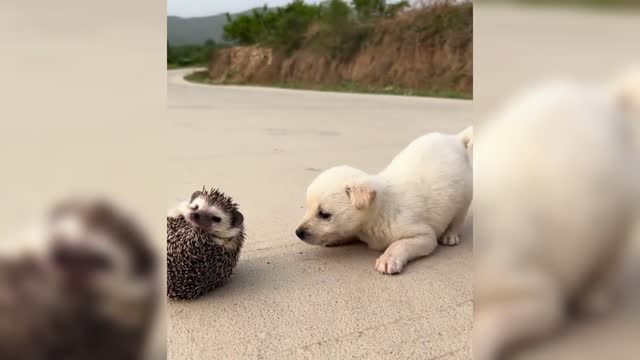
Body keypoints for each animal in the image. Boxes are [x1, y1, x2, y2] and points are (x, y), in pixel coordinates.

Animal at [294, 126, 470, 272]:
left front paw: (388, 259)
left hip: (465, 198)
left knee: (459, 219)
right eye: (308, 208)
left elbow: (399, 244)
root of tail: (455, 138)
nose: (298, 232)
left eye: (324, 214)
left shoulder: (424, 236)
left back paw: (450, 235)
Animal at [472, 67, 640, 360]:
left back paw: (594, 298)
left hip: (620, 216)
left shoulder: (532, 290)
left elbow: (501, 319)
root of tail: (604, 96)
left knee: (610, 258)